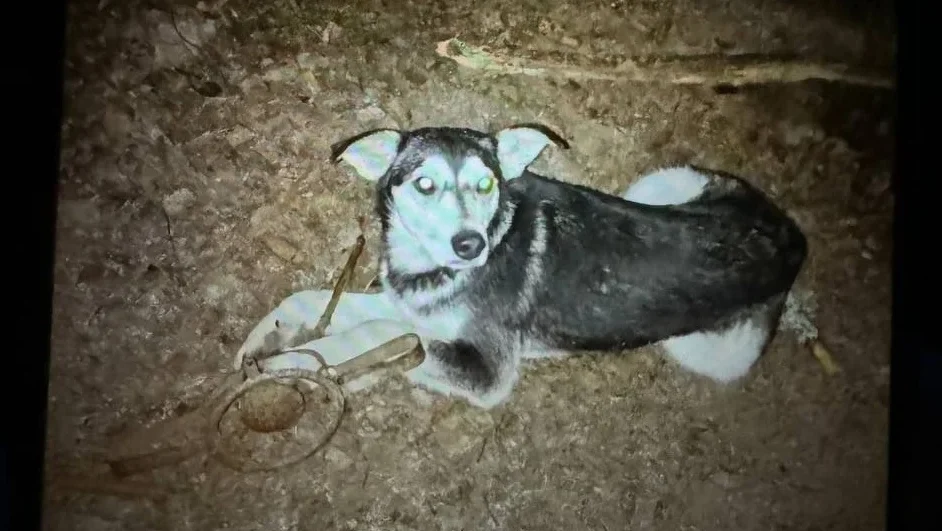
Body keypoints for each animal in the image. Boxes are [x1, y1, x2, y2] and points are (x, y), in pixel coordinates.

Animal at [232, 123, 808, 408]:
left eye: (486, 183)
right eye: (425, 184)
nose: (469, 245)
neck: (434, 270)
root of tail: (793, 238)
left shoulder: (487, 371)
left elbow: (384, 338)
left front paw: (302, 361)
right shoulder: (410, 304)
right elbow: (317, 301)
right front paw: (271, 335)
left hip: (706, 351)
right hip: (660, 184)